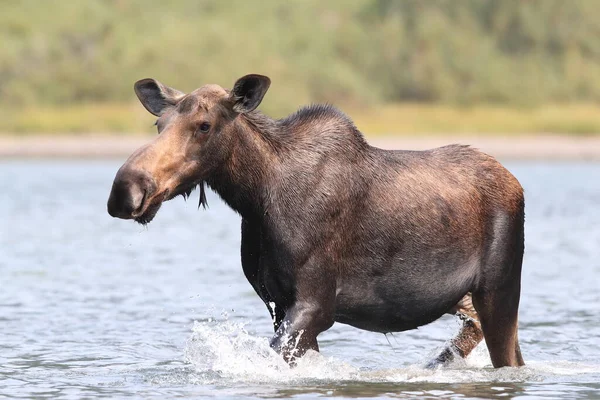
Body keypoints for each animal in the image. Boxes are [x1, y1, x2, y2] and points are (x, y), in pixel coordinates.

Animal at [108, 73, 524, 368]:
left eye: (204, 125)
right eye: (159, 124)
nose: (126, 190)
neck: (255, 198)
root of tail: (516, 184)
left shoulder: (316, 303)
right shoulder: (278, 304)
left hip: (500, 289)